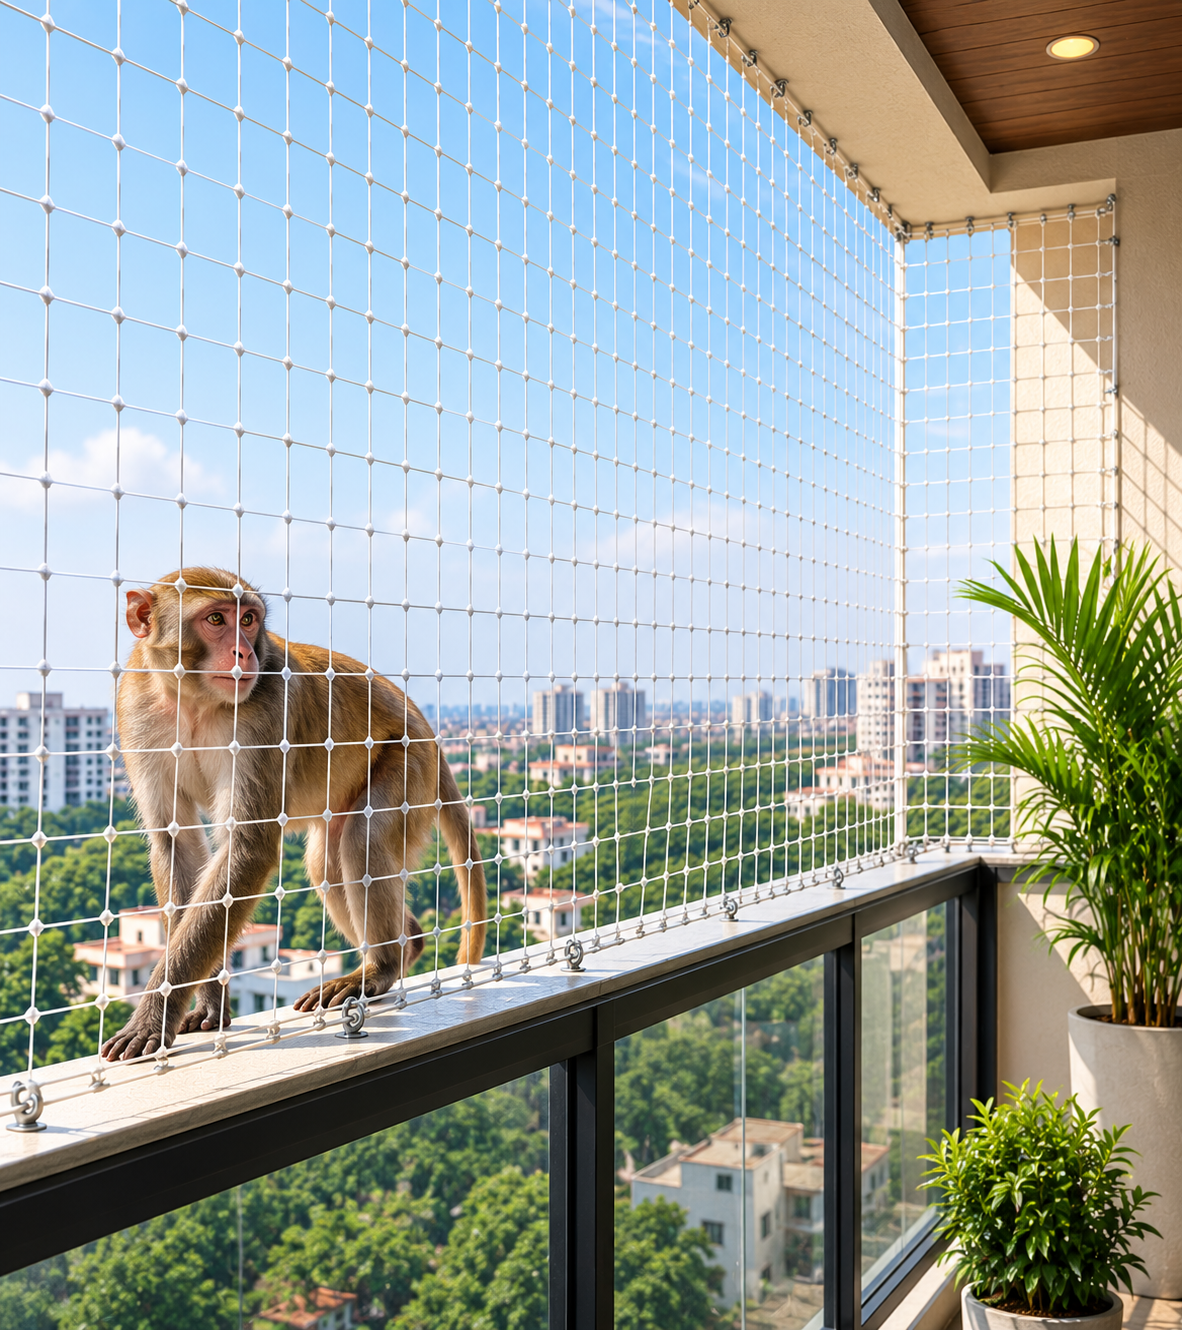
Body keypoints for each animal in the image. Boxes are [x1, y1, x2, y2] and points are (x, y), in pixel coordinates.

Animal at [100, 567, 486, 1061]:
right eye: (216, 619)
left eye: (248, 619)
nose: (245, 652)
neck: (194, 699)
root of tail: (432, 736)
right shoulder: (137, 711)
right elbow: (176, 842)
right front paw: (208, 1004)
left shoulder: (265, 712)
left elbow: (248, 847)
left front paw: (155, 1014)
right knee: (329, 864)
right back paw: (408, 941)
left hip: (408, 763)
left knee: (359, 842)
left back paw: (381, 967)